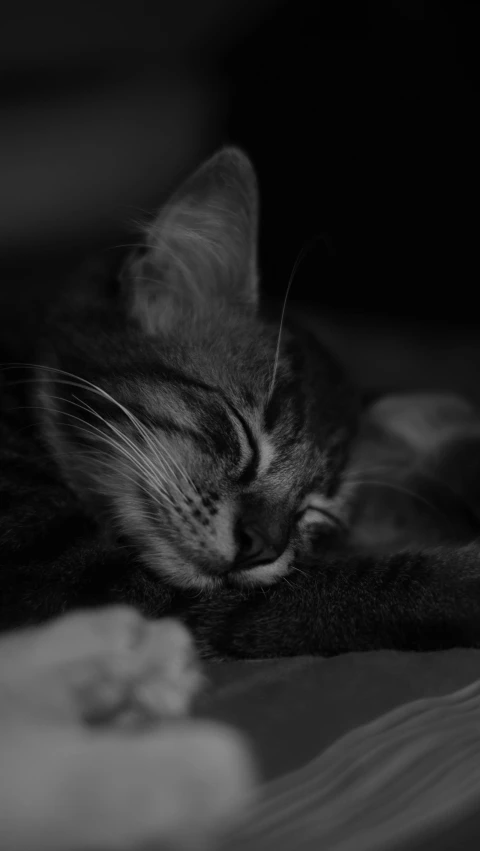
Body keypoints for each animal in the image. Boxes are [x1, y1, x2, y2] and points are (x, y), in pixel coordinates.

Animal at [1, 145, 480, 660]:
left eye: (316, 511)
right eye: (241, 432)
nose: (262, 547)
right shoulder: (80, 585)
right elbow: (355, 588)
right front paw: (464, 582)